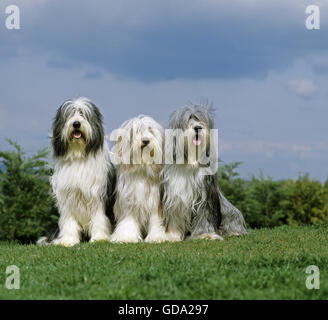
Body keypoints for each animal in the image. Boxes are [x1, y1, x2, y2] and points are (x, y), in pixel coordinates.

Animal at [39, 99, 116, 246]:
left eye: (83, 114)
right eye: (70, 114)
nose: (76, 124)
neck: (78, 155)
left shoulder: (97, 194)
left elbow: (98, 217)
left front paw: (99, 238)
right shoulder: (68, 196)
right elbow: (69, 220)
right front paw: (68, 240)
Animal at [160, 104, 247, 241]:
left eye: (200, 119)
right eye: (189, 119)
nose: (197, 127)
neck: (190, 163)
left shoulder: (204, 194)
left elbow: (204, 215)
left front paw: (205, 234)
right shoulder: (175, 194)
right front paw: (172, 235)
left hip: (227, 208)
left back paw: (234, 232)